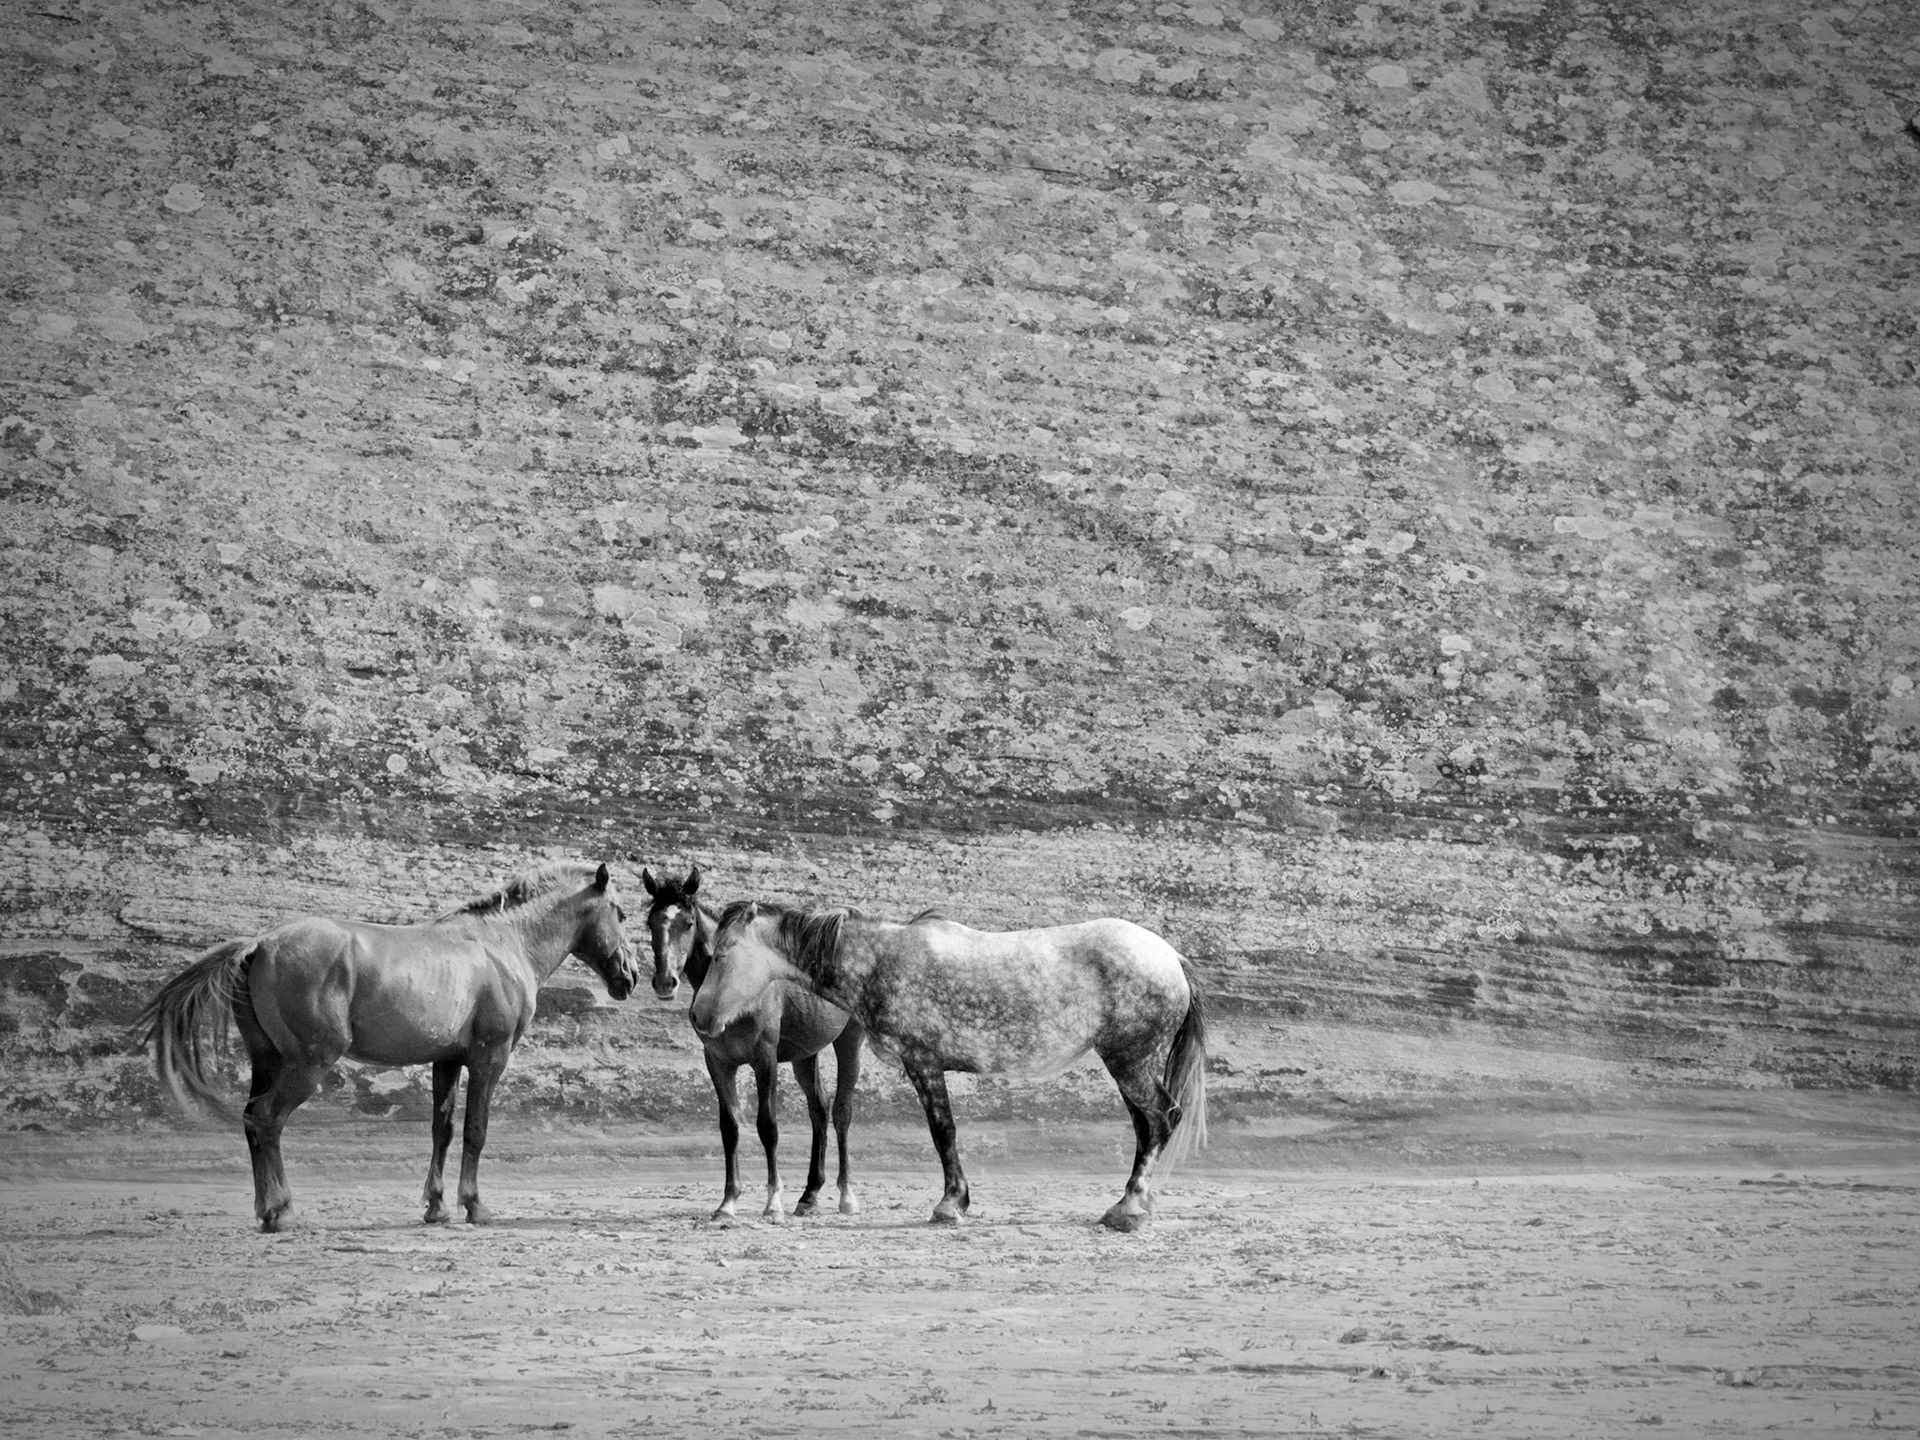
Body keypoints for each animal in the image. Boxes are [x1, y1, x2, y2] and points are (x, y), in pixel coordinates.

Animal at [136, 859, 640, 1232]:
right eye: (621, 912)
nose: (630, 976)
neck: (501, 944)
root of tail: (259, 945)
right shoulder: (489, 1057)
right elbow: (476, 1131)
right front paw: (474, 1206)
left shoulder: (447, 1061)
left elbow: (443, 1130)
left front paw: (436, 1207)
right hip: (307, 1064)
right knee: (267, 1120)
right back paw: (281, 1211)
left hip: (268, 1061)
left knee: (251, 1121)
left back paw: (266, 1210)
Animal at [642, 865, 864, 1220]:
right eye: (651, 922)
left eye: (688, 923)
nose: (665, 982)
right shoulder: (718, 1062)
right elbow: (729, 1128)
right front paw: (727, 1204)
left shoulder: (765, 1059)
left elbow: (767, 1126)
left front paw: (773, 1204)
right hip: (806, 1054)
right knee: (819, 1107)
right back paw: (809, 1195)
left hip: (849, 1040)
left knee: (842, 1110)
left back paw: (846, 1196)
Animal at [690, 899, 1207, 1231]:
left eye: (723, 953)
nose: (698, 1017)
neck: (881, 961)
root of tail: (1171, 957)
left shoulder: (923, 1064)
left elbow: (943, 1132)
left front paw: (950, 1204)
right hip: (1128, 1065)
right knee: (1146, 1127)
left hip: (1130, 1061)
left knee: (1163, 1118)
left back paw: (1131, 1209)